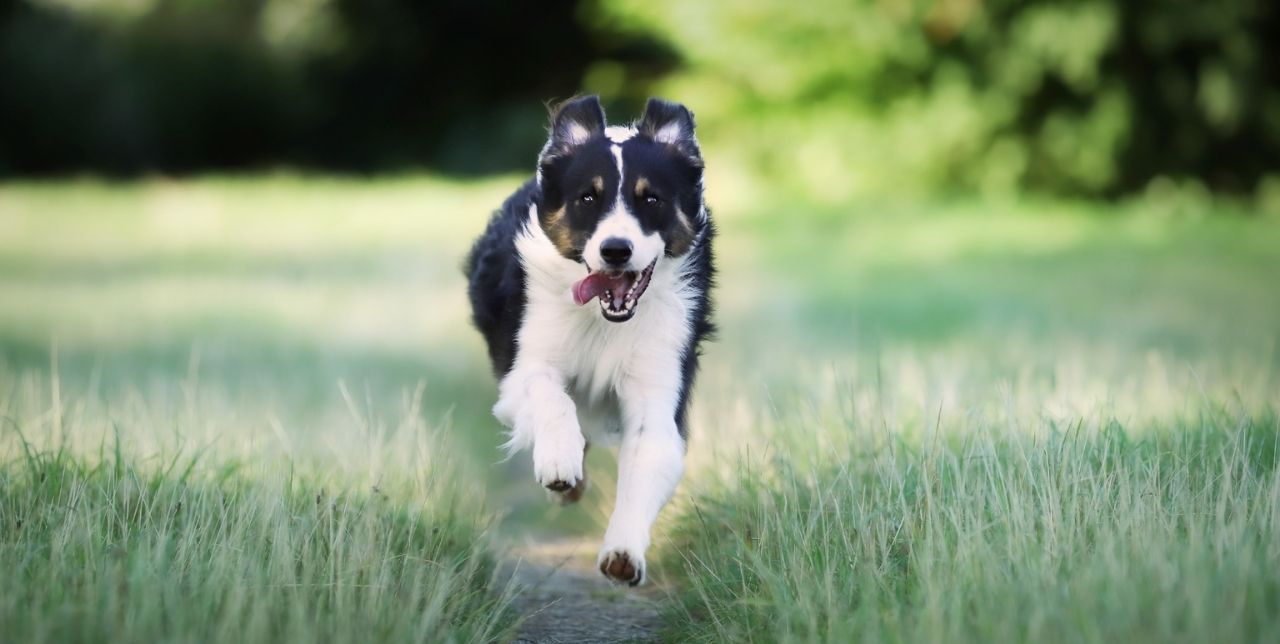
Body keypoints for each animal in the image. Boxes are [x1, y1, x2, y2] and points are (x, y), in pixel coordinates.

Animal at [465, 97, 716, 588]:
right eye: (587, 198)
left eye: (651, 199)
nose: (616, 250)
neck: (605, 320)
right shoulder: (523, 363)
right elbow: (550, 395)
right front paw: (559, 462)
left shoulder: (658, 385)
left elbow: (646, 460)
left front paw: (624, 553)